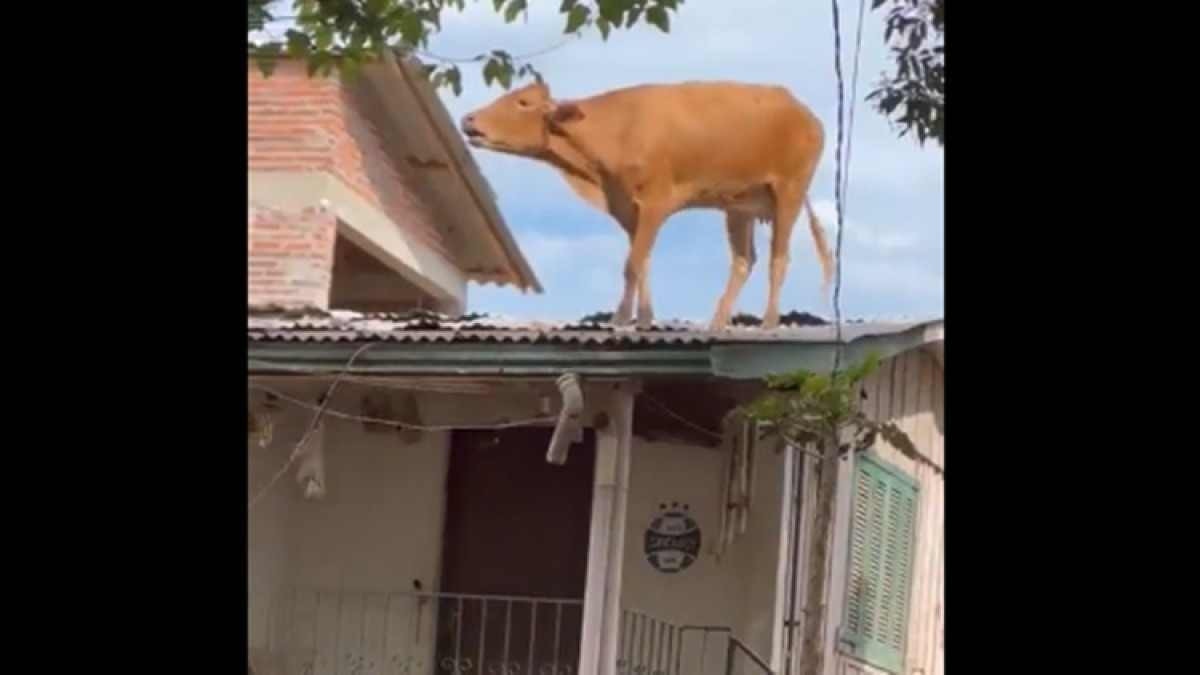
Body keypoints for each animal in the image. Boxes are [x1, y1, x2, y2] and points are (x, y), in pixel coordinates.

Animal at [458, 79, 835, 329]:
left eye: (522, 102)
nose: (468, 119)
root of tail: (800, 108)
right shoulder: (628, 207)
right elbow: (643, 261)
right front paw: (644, 318)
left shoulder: (656, 200)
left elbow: (632, 264)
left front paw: (621, 318)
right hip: (738, 204)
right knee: (744, 260)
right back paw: (717, 321)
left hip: (789, 191)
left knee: (778, 258)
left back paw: (769, 322)